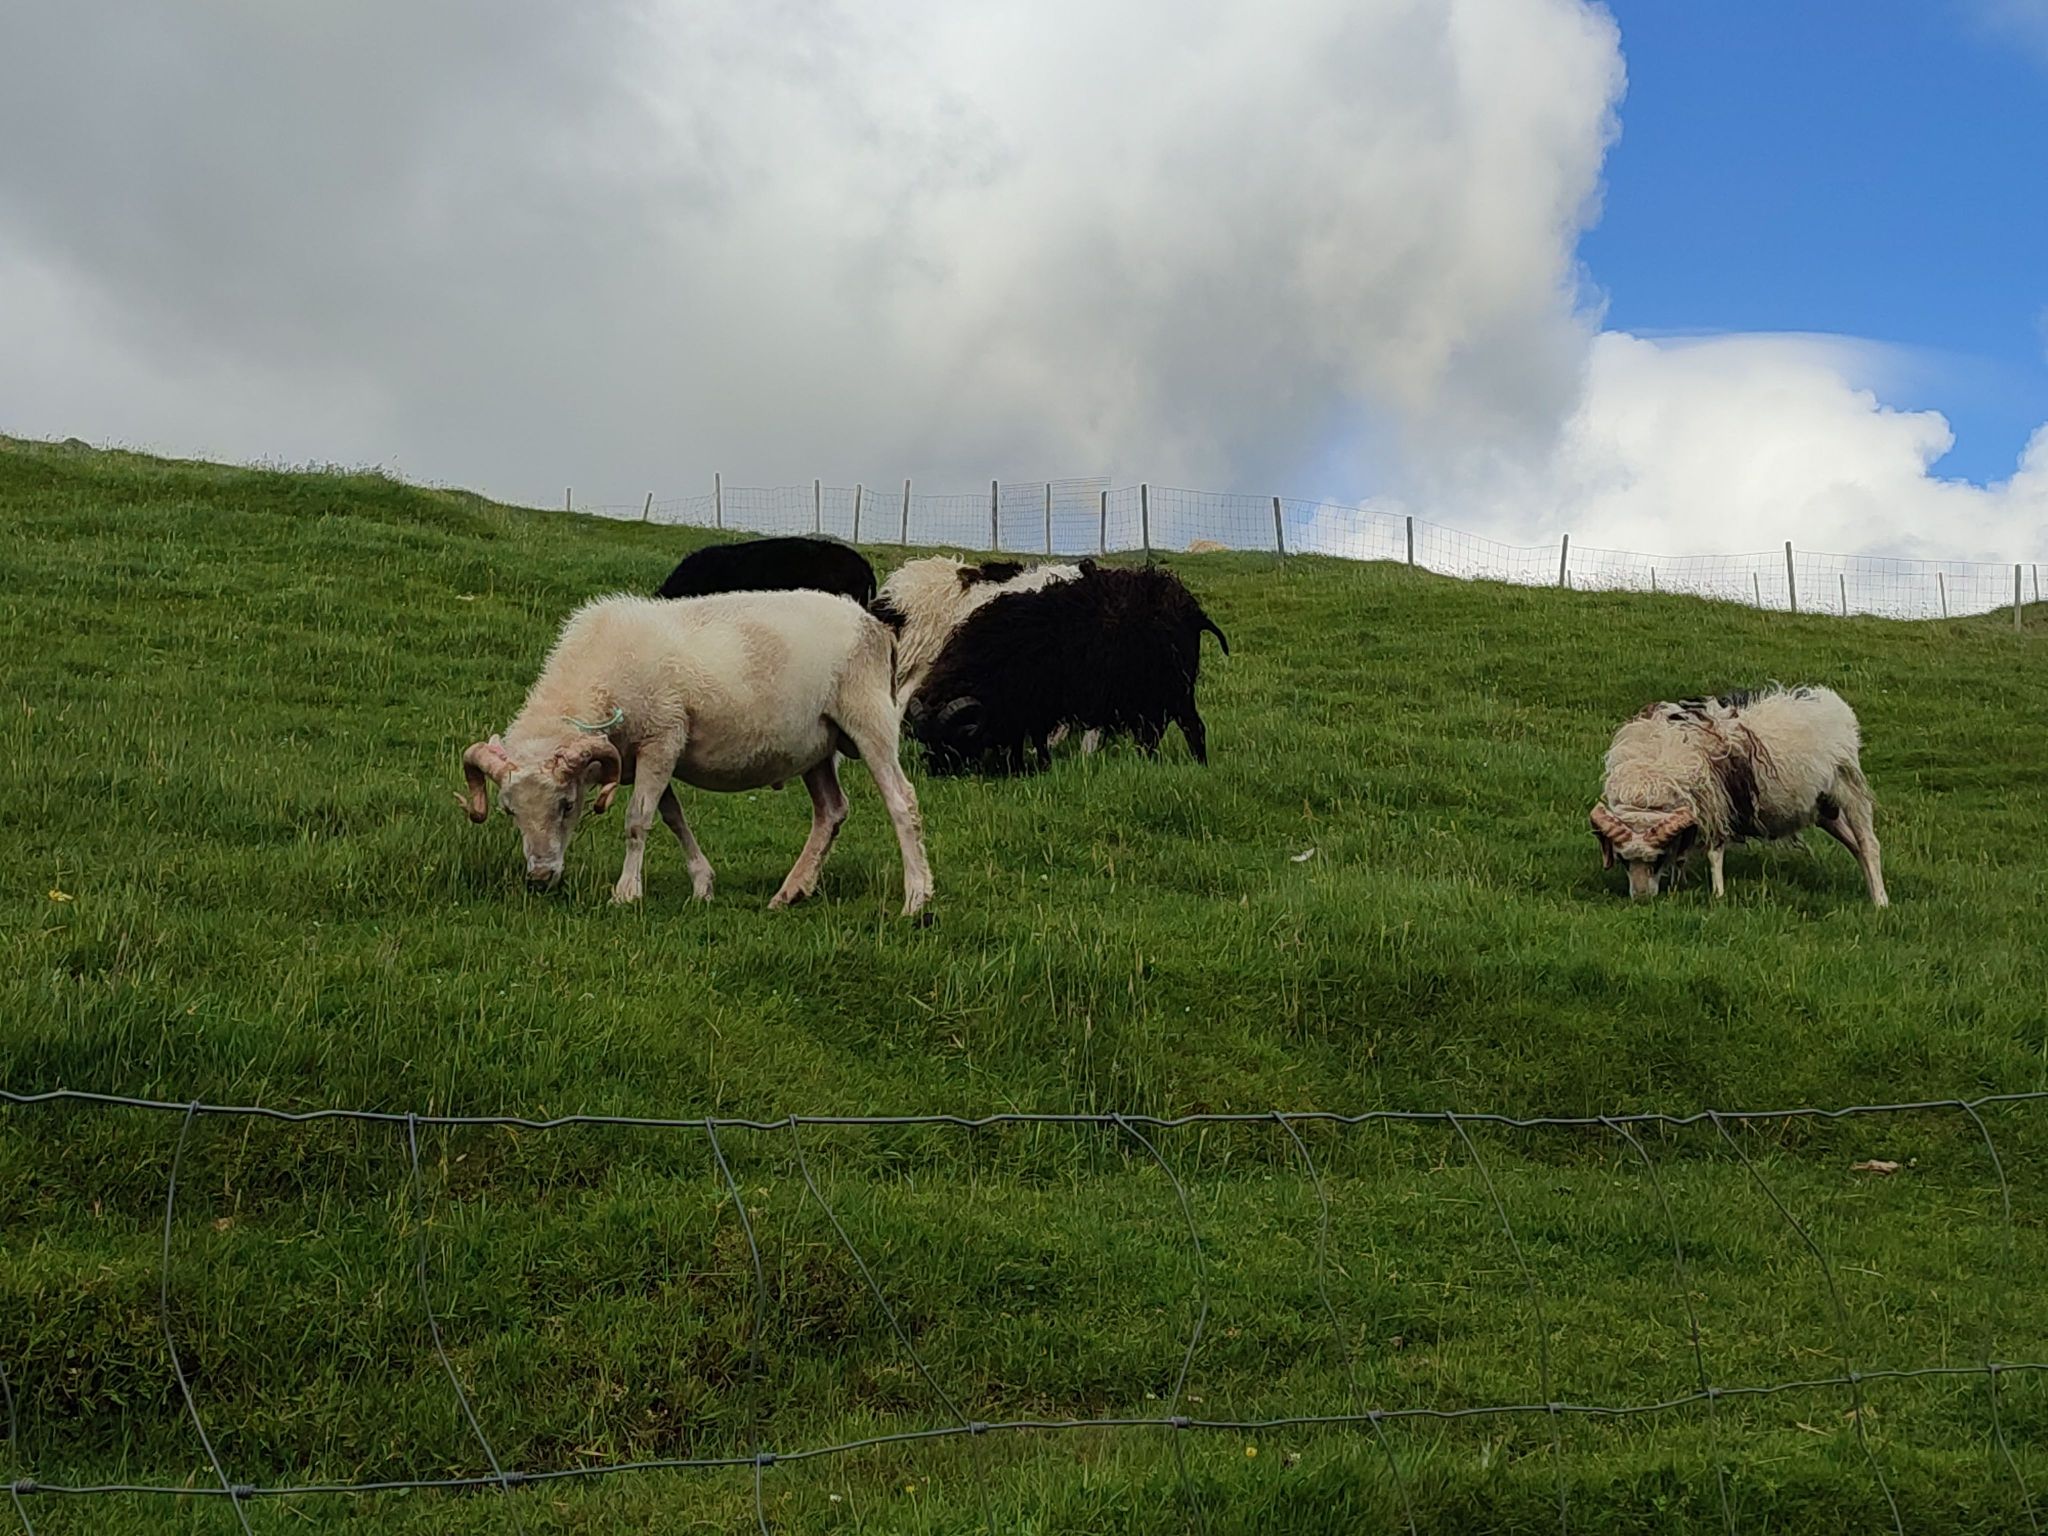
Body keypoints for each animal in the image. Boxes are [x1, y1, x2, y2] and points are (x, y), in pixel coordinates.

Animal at [461, 591, 932, 916]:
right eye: (510, 811)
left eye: (566, 804)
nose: (540, 877)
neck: (597, 677)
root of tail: (874, 625)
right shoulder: (643, 754)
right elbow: (671, 816)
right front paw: (703, 884)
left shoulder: (662, 737)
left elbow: (637, 821)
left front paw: (626, 893)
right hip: (815, 744)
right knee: (831, 811)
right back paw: (791, 891)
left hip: (869, 718)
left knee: (902, 802)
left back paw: (916, 900)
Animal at [904, 563, 1229, 775]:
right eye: (927, 739)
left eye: (952, 740)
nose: (938, 771)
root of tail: (1193, 609)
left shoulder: (1034, 700)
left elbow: (1033, 737)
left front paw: (1036, 767)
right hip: (1148, 697)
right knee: (1151, 736)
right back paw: (1145, 762)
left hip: (1175, 688)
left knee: (1193, 728)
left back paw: (1200, 766)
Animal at [1589, 684, 1887, 906]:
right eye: (1623, 860)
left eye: (1658, 858)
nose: (1640, 899)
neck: (1647, 789)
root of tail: (1832, 700)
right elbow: (1683, 855)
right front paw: (1677, 885)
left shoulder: (1716, 805)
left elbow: (1714, 853)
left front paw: (1718, 895)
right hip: (1823, 808)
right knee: (1855, 845)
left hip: (1848, 786)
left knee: (1868, 844)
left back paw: (1880, 902)